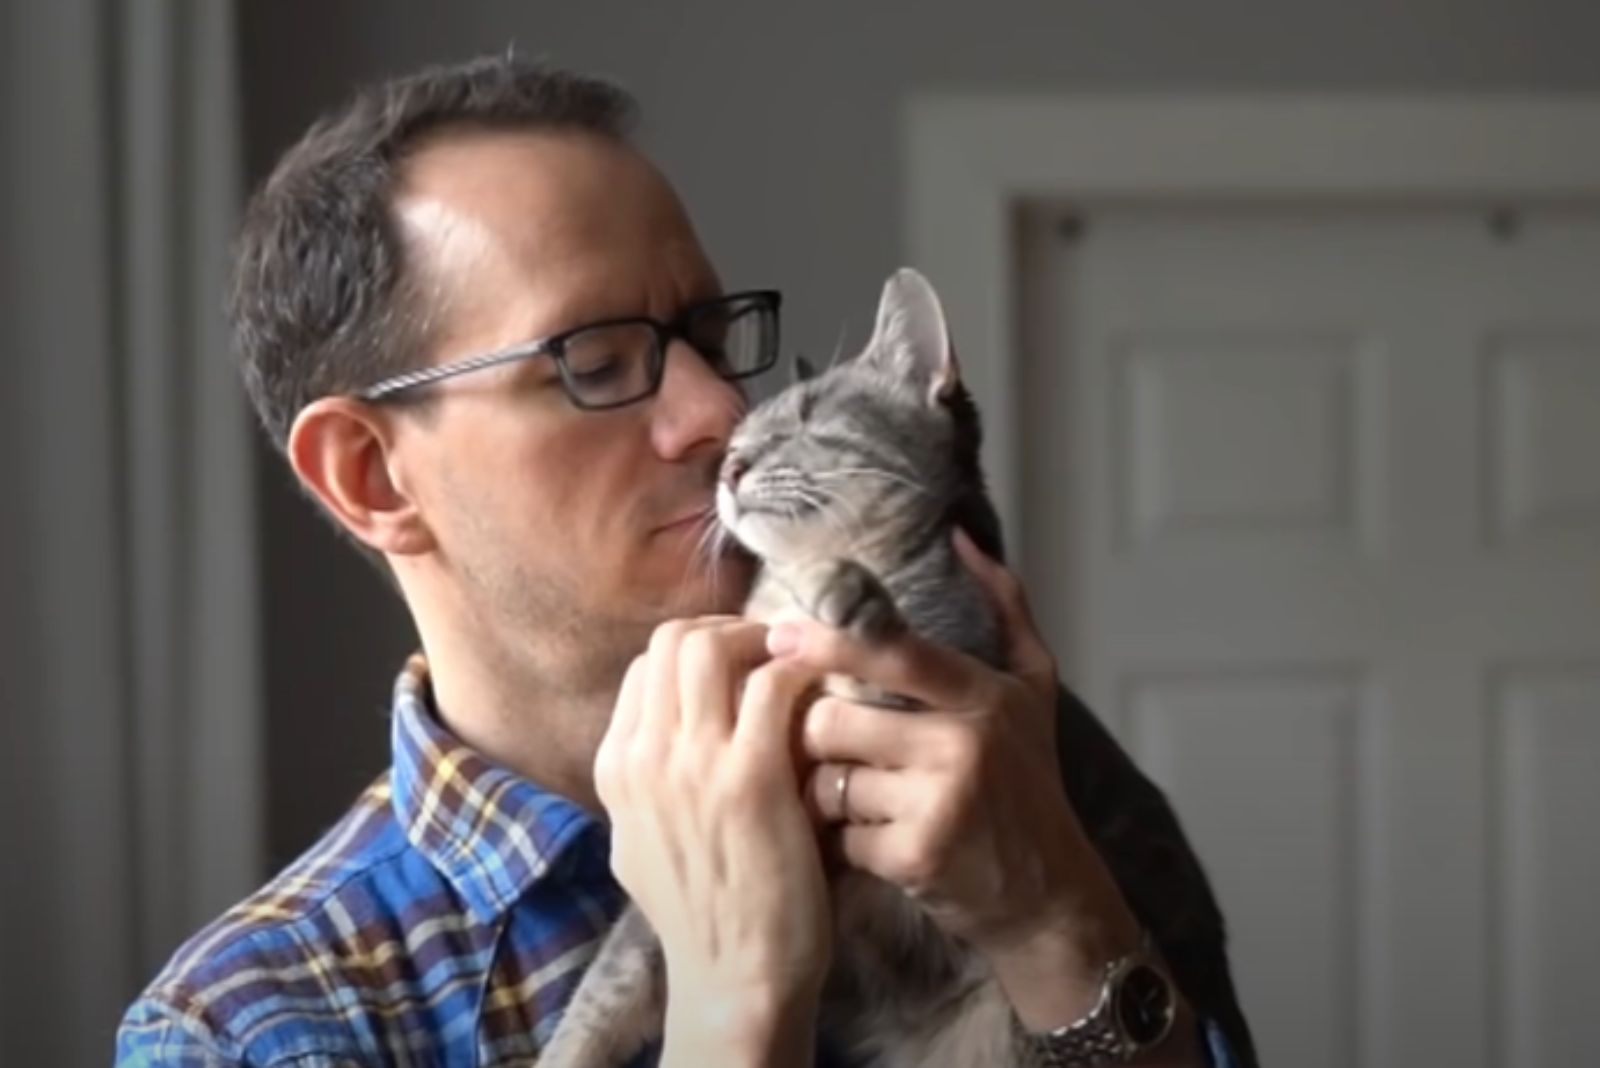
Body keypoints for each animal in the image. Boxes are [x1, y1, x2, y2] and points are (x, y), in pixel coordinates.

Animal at [544, 268, 1254, 1068]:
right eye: (737, 439)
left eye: (807, 417)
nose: (727, 466)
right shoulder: (638, 939)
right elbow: (605, 992)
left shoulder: (939, 664)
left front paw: (841, 589)